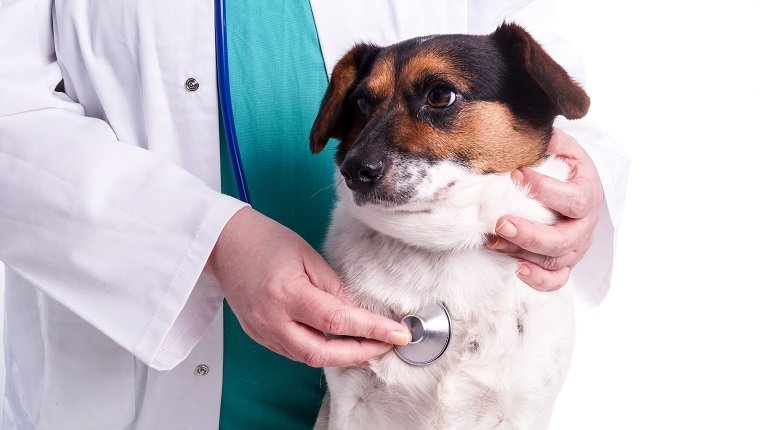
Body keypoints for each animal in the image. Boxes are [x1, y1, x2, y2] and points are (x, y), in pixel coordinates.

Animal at [308, 23, 588, 430]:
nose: (354, 171)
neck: (443, 244)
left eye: (441, 95)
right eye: (360, 103)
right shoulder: (349, 402)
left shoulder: (525, 408)